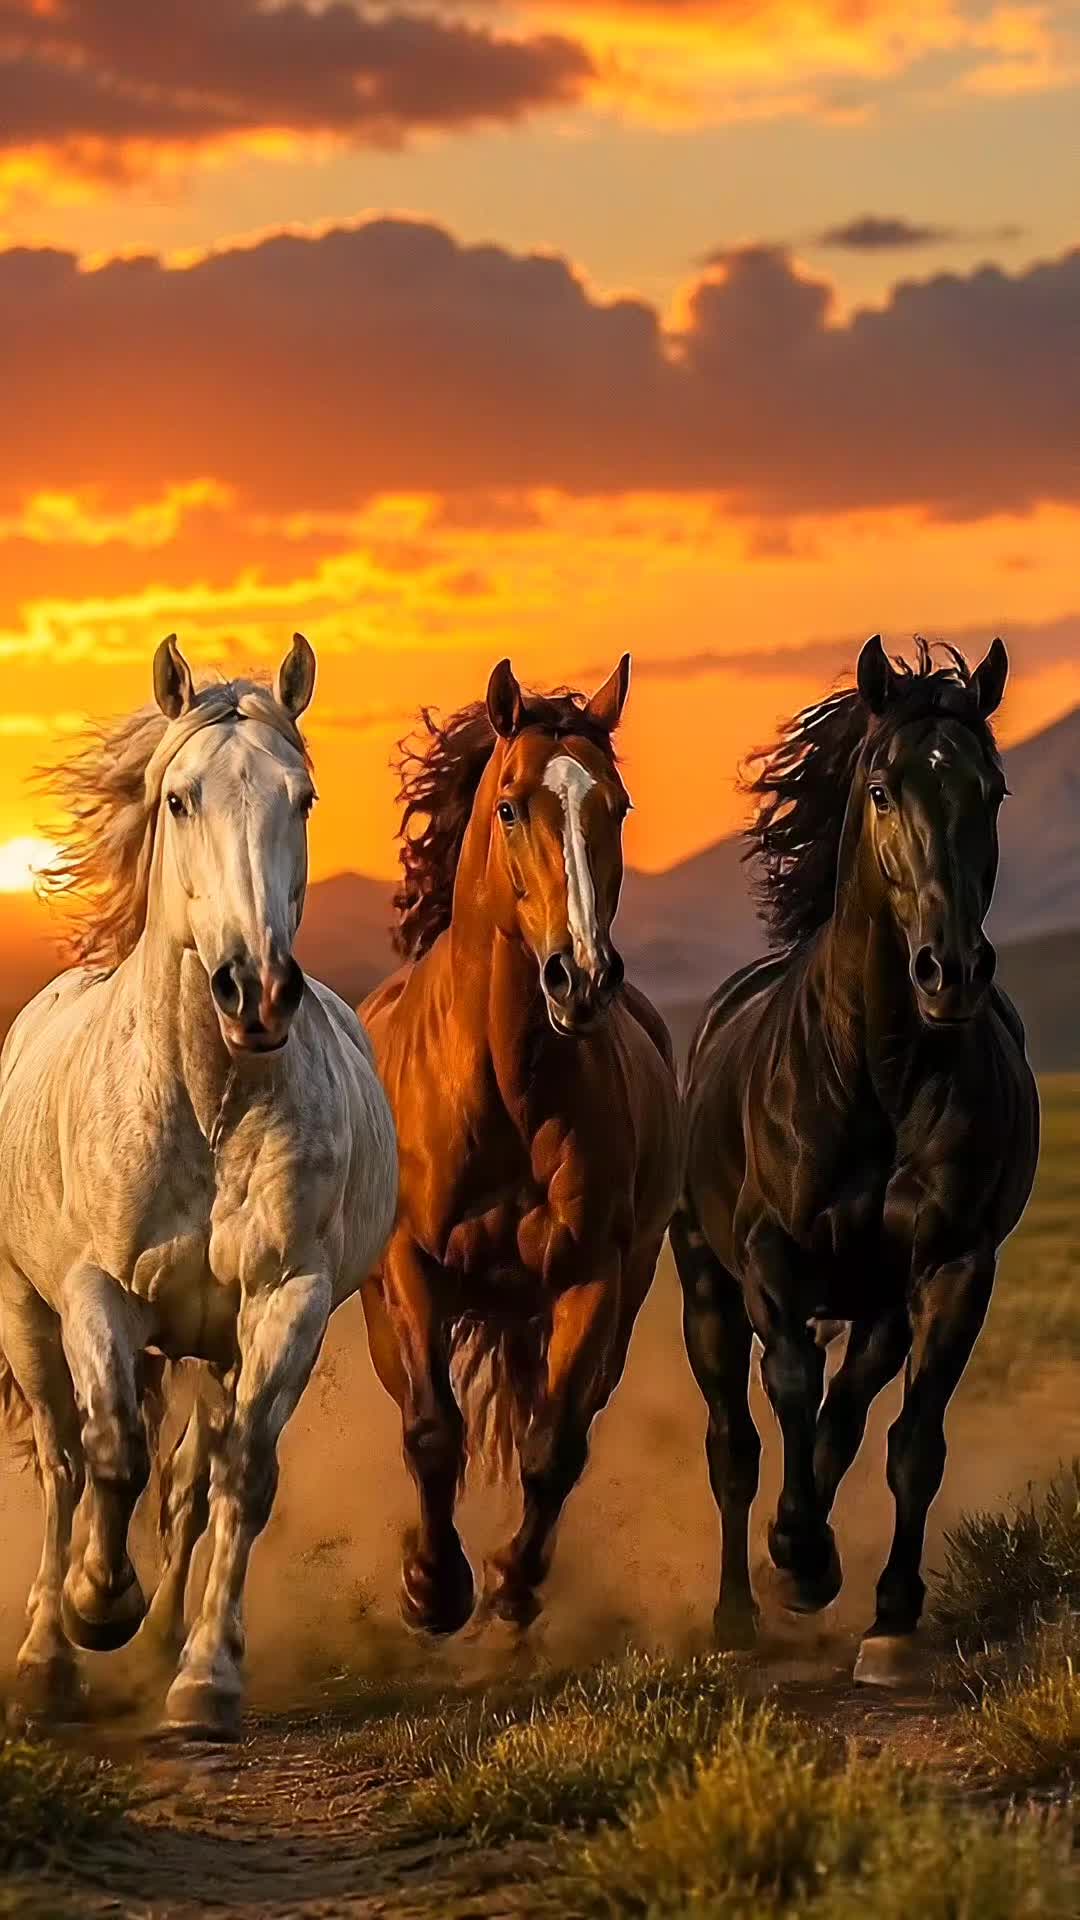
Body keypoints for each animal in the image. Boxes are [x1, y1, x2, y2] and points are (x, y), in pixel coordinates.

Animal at [0, 635, 397, 1735]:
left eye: (303, 797)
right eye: (180, 799)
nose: (255, 992)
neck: (207, 1106)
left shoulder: (285, 1301)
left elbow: (240, 1477)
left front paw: (204, 1674)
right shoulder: (97, 1295)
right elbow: (111, 1453)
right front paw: (99, 1607)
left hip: (215, 1348)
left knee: (190, 1473)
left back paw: (160, 1639)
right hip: (26, 1314)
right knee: (62, 1460)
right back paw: (49, 1658)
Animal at [360, 657, 680, 1634]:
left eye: (617, 805)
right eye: (509, 806)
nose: (581, 977)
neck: (503, 1089)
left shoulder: (592, 1278)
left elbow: (554, 1448)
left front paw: (512, 1581)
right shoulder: (409, 1266)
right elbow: (432, 1433)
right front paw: (432, 1587)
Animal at [673, 635, 1039, 1685]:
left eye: (992, 788)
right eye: (881, 789)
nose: (949, 972)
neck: (875, 1074)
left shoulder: (954, 1268)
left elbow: (913, 1442)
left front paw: (890, 1614)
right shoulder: (767, 1258)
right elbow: (789, 1388)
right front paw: (798, 1556)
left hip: (878, 1302)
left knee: (848, 1410)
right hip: (705, 1284)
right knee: (736, 1439)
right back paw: (743, 1606)